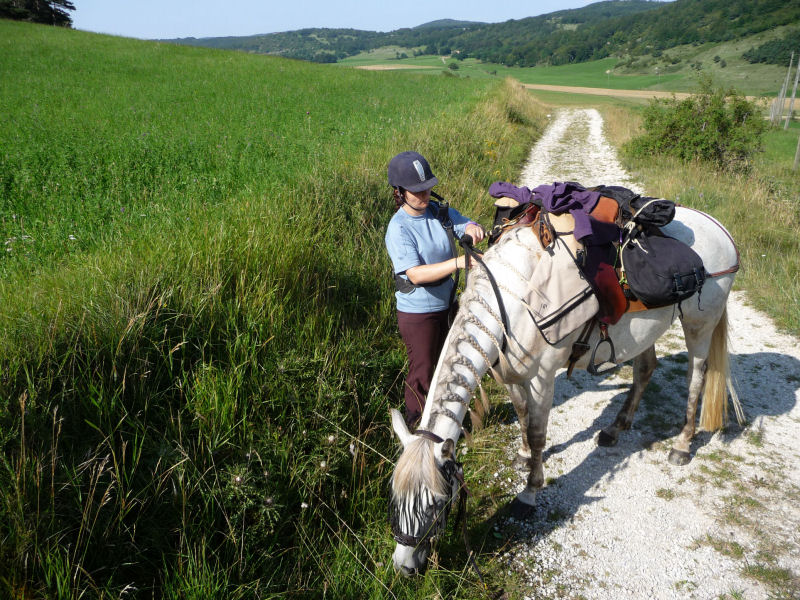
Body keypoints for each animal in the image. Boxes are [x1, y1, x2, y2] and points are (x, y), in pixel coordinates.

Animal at [388, 206, 736, 576]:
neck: (512, 301)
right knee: (645, 370)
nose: (404, 566)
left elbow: (539, 432)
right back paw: (615, 428)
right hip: (647, 329)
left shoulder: (542, 378)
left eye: (437, 502)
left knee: (696, 377)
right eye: (394, 497)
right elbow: (523, 416)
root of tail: (718, 227)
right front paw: (524, 454)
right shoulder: (510, 374)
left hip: (700, 325)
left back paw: (682, 444)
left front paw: (529, 493)